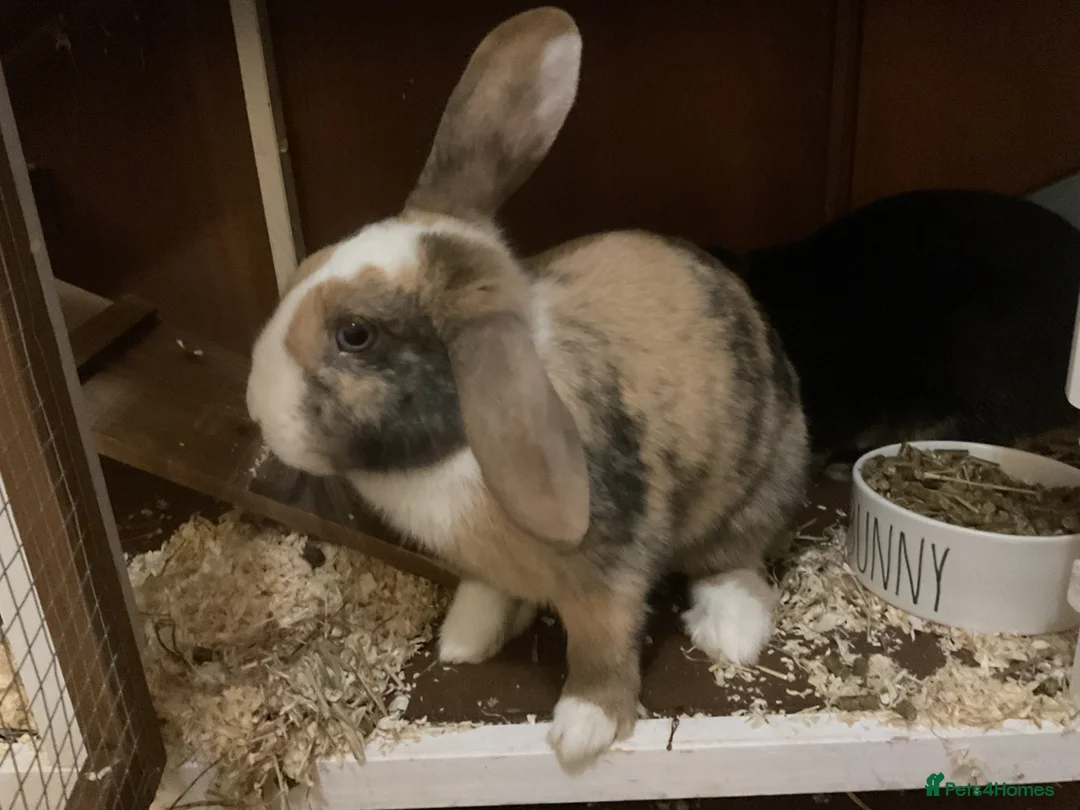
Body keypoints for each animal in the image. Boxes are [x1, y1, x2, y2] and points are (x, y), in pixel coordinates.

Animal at [246, 7, 808, 773]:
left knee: (734, 559)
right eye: (310, 262)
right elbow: (488, 594)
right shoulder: (485, 567)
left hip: (754, 487)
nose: (256, 409)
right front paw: (463, 642)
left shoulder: (607, 575)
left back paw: (730, 630)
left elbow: (602, 645)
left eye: (355, 335)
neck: (454, 453)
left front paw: (582, 730)